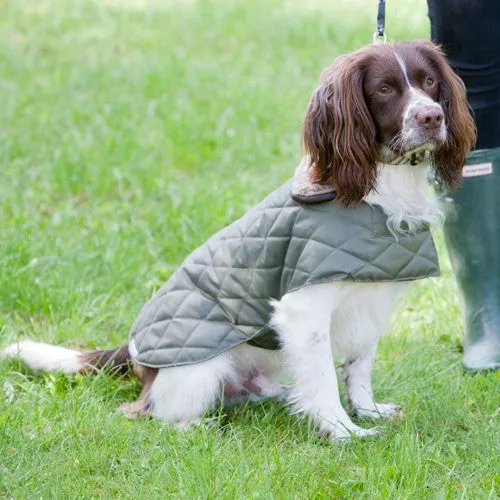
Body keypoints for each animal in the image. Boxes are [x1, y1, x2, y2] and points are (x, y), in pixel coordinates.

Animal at [2, 43, 476, 442]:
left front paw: (368, 411)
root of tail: (137, 359)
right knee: (150, 413)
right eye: (384, 89)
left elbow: (359, 367)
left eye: (429, 82)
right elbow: (324, 378)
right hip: (199, 370)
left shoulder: (369, 300)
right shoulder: (304, 308)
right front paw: (343, 432)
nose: (432, 117)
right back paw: (201, 427)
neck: (381, 189)